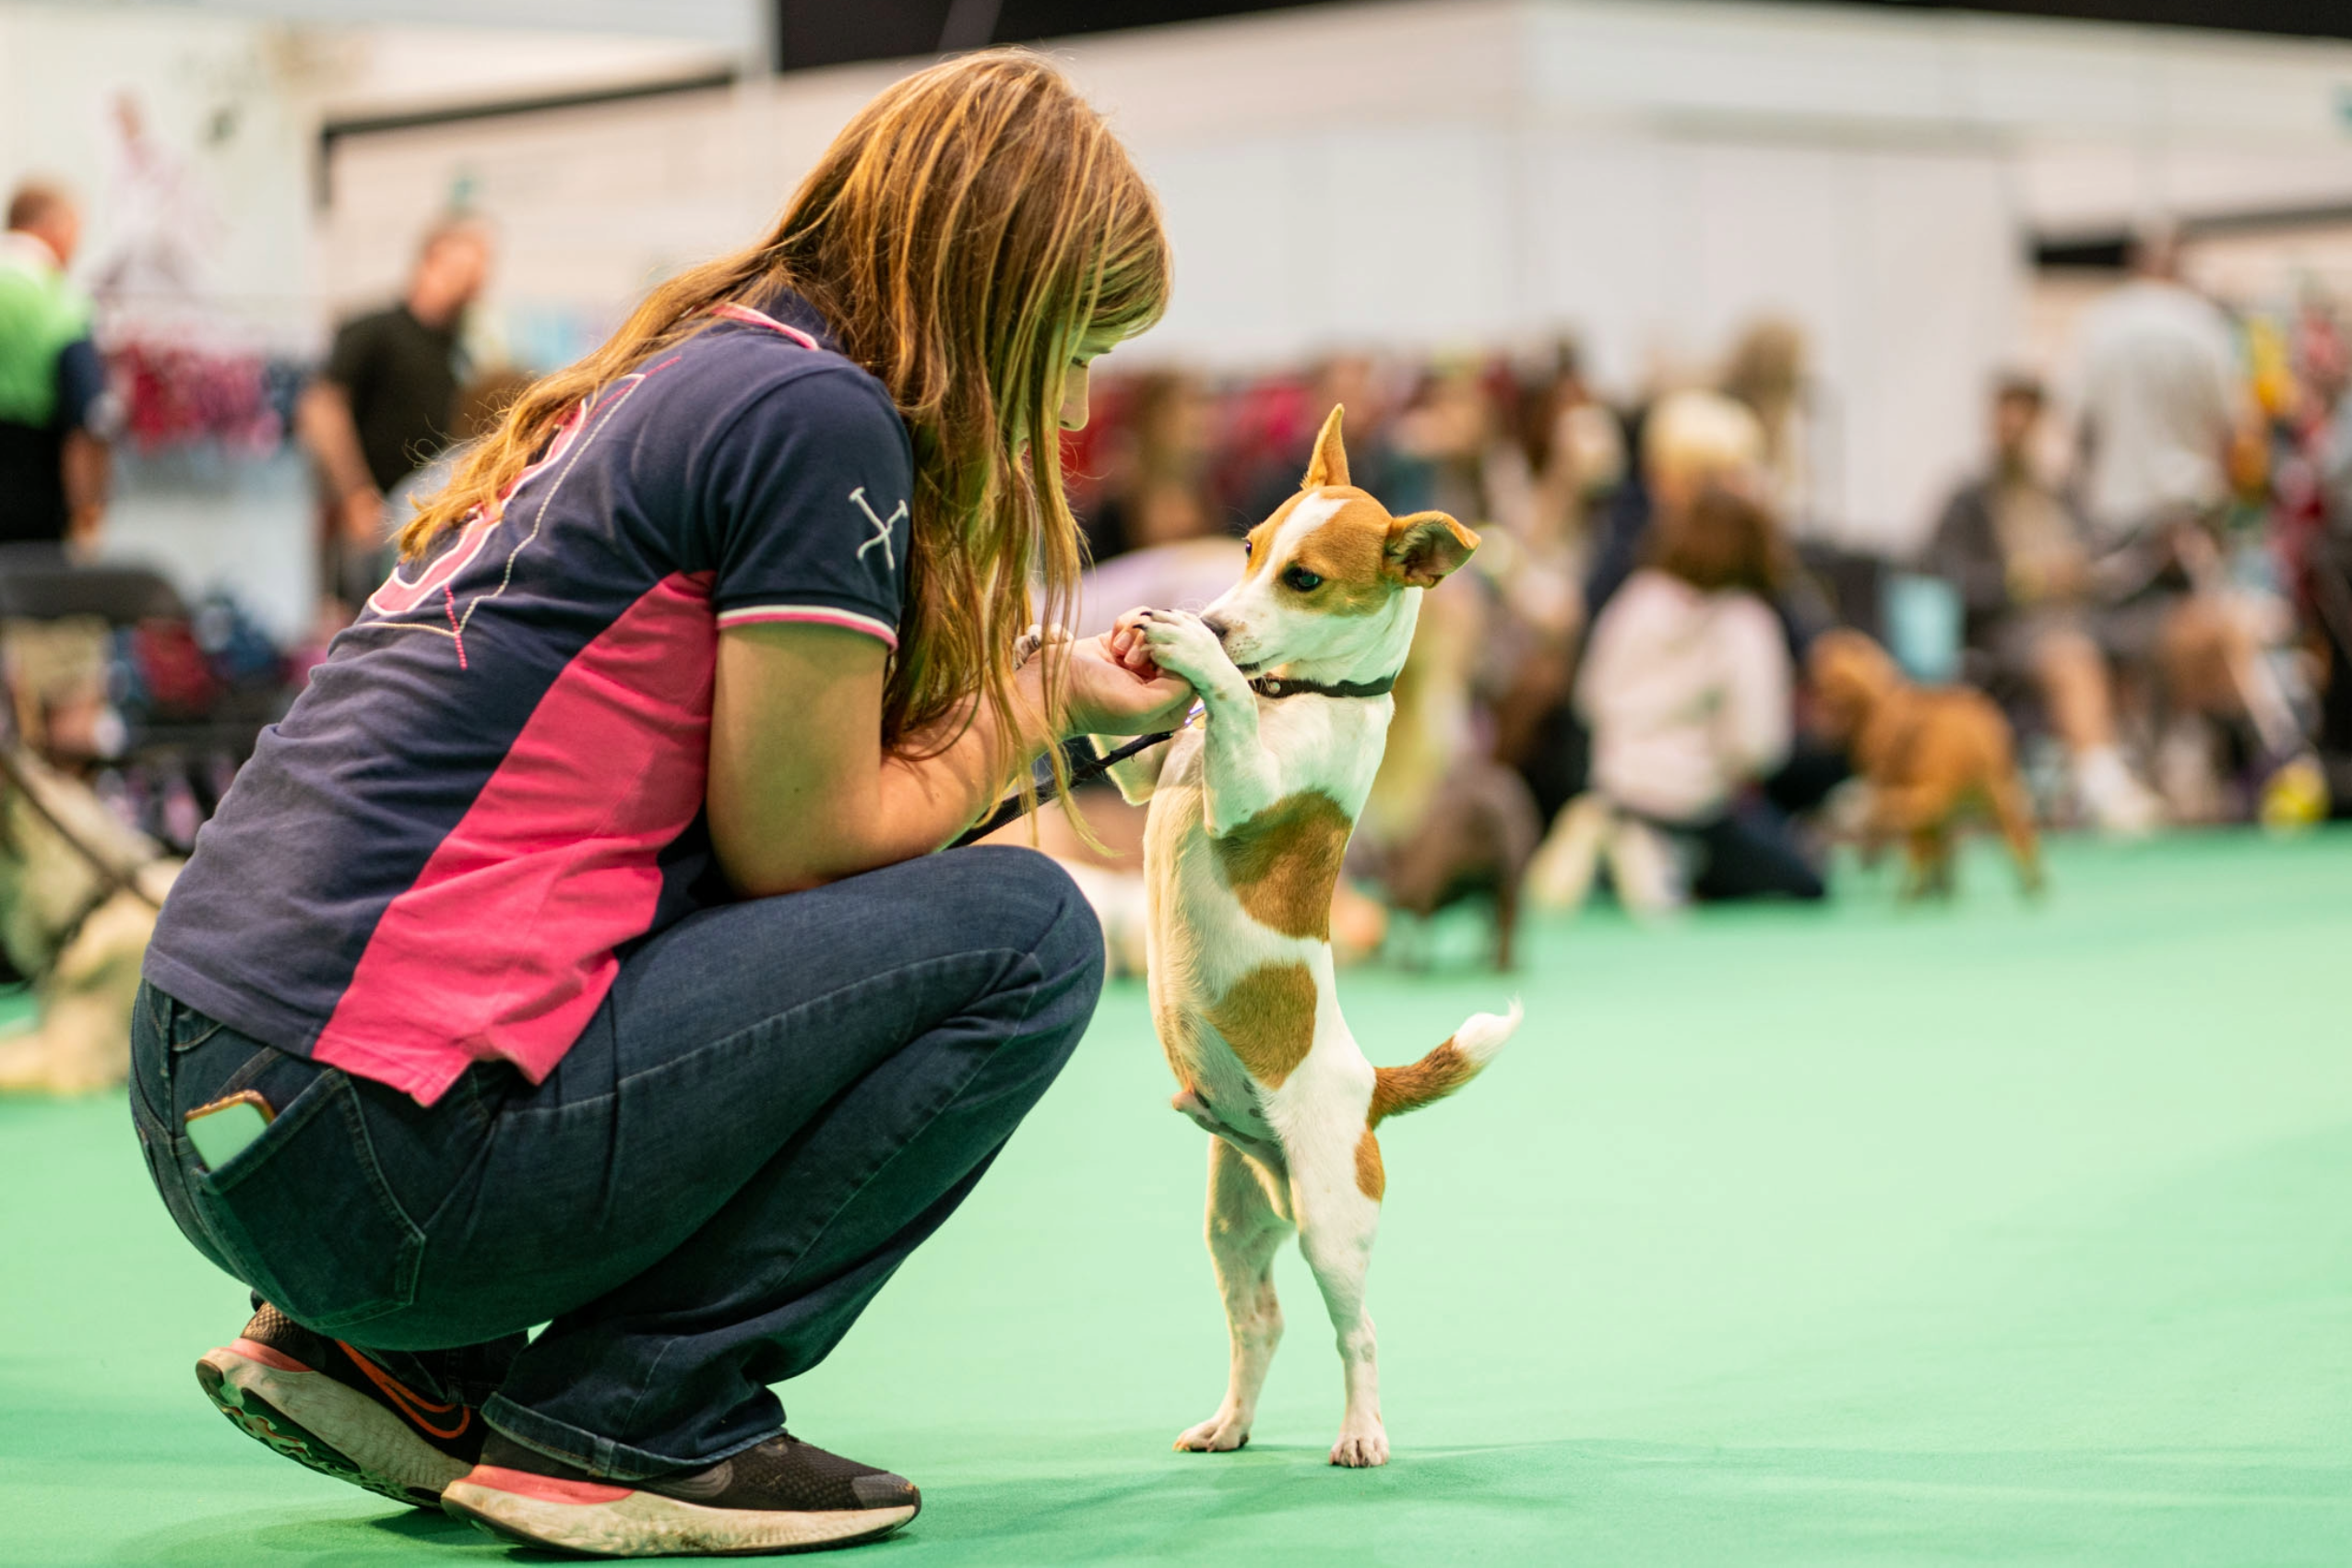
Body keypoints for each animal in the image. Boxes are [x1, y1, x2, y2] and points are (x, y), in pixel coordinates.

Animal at [1091, 409, 1515, 1476]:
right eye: (1248, 549)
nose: (1214, 620)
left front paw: (1198, 660)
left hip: (1331, 1220)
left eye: (1306, 579)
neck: (1305, 692)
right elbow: (1138, 756)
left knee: (1356, 1332)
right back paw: (1229, 1423)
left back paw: (1362, 1430)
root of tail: (1372, 1087)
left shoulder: (1252, 790)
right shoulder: (1150, 774)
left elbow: (1231, 715)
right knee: (1262, 1321)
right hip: (1234, 1220)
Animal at [1797, 624, 2041, 893]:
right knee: (2018, 830)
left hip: (1945, 785)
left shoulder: (1888, 779)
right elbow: (1938, 843)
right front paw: (1942, 884)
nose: (1812, 683)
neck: (1876, 706)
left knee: (1921, 817)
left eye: (1829, 673)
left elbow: (1902, 832)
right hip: (1997, 787)